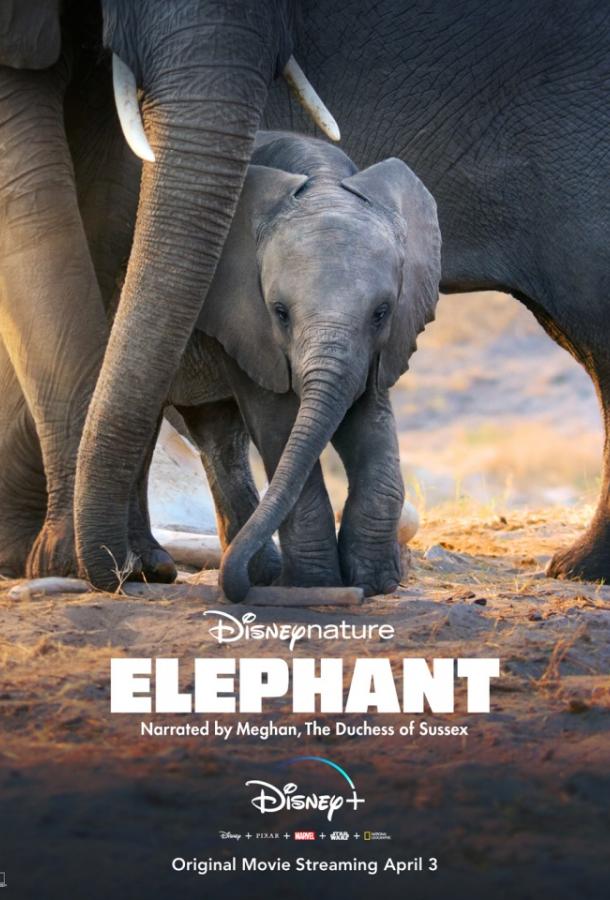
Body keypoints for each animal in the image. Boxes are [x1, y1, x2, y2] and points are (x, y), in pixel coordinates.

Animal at [164, 131, 440, 601]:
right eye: (280, 312)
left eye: (381, 313)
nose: (234, 588)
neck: (322, 179)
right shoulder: (243, 316)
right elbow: (279, 422)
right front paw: (316, 585)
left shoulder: (380, 346)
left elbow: (369, 419)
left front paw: (376, 584)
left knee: (217, 435)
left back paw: (259, 574)